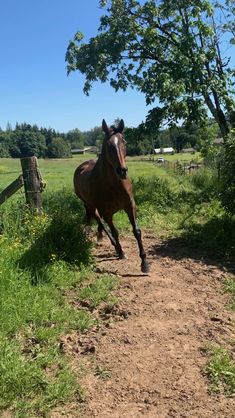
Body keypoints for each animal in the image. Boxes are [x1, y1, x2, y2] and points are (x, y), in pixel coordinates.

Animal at [74, 118, 149, 274]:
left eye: (124, 141)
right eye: (108, 145)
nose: (122, 171)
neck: (114, 185)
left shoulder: (130, 206)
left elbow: (137, 231)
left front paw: (144, 263)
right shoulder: (107, 213)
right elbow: (114, 232)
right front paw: (121, 252)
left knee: (99, 222)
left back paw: (100, 235)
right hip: (90, 205)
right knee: (99, 220)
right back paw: (112, 244)